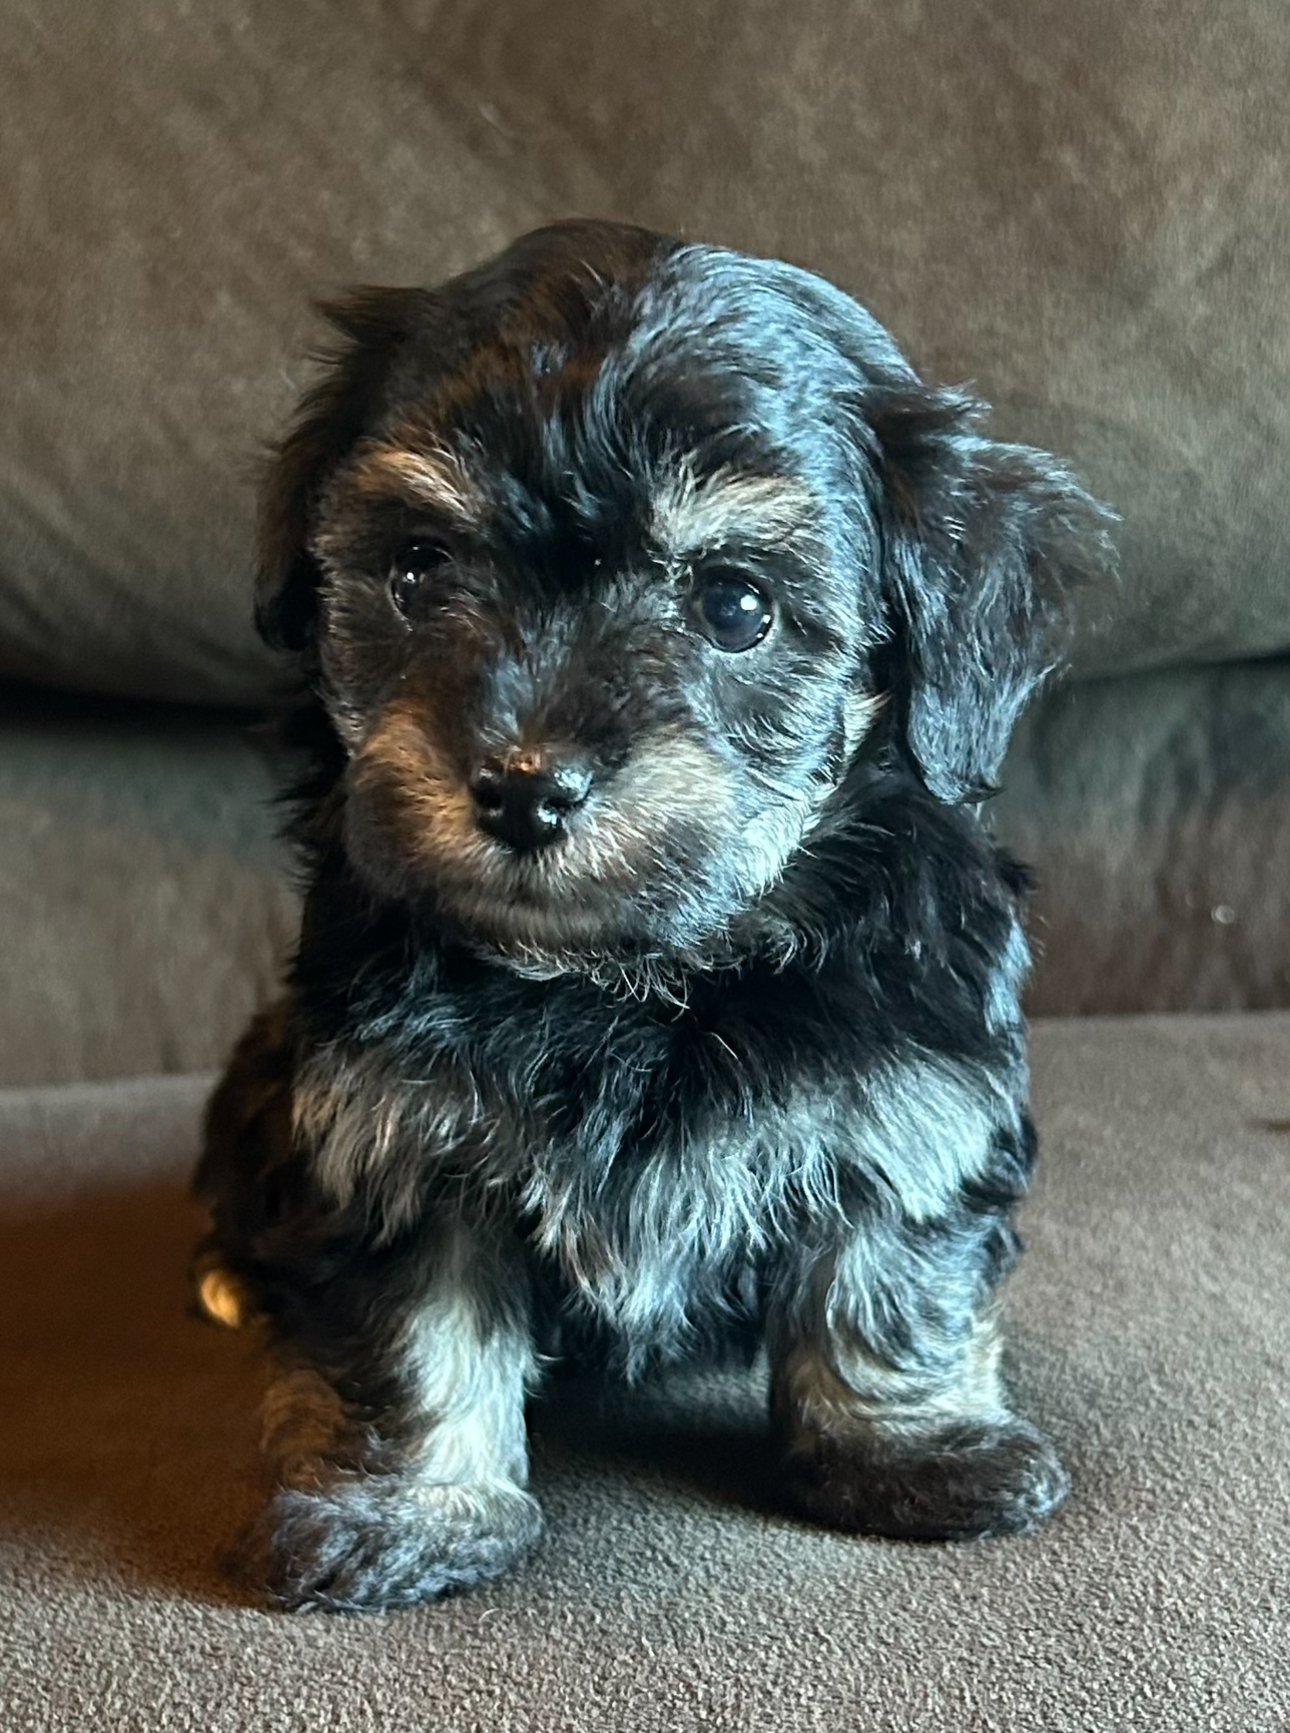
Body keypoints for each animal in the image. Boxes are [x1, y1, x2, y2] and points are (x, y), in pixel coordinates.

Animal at [196, 216, 1116, 1608]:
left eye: (736, 603)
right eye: (418, 567)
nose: (526, 785)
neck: (637, 980)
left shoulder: (913, 1086)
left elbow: (892, 1268)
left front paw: (913, 1449)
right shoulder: (390, 1124)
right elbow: (408, 1329)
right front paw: (406, 1511)